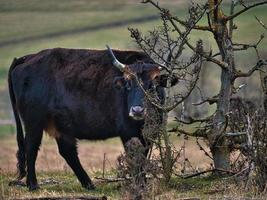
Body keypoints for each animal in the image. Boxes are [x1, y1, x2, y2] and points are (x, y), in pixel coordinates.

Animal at [7, 45, 170, 191]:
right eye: (128, 84)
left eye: (152, 85)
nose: (137, 110)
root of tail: (28, 57)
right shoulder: (128, 132)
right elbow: (135, 156)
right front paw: (139, 185)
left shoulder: (149, 132)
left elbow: (143, 155)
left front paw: (143, 183)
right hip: (33, 122)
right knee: (31, 147)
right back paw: (33, 185)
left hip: (61, 126)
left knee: (68, 151)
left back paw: (89, 184)